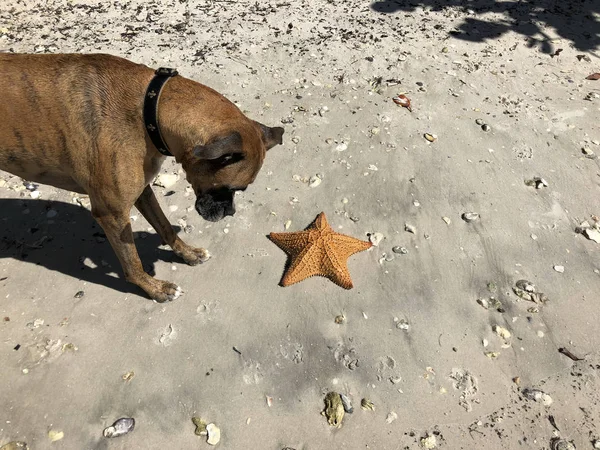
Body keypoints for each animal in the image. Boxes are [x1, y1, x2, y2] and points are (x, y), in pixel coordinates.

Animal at [0, 54, 284, 302]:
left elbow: (165, 226)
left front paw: (188, 253)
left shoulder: (142, 191)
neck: (149, 110)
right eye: (230, 188)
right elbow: (132, 261)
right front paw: (155, 289)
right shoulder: (112, 214)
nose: (231, 213)